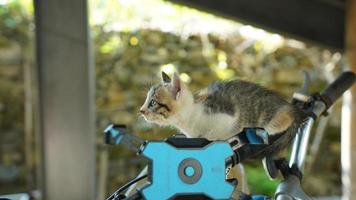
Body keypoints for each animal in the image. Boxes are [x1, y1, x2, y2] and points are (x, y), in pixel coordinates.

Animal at [139, 72, 304, 156]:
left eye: (152, 102)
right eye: (146, 100)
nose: (141, 110)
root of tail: (290, 107)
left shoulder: (228, 117)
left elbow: (214, 135)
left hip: (274, 120)